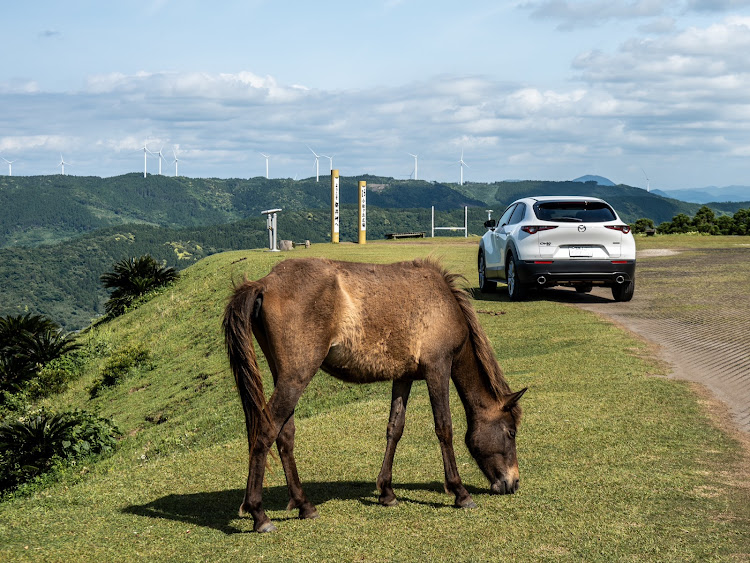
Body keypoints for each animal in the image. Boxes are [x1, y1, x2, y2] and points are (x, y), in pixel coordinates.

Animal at [226, 258, 524, 532]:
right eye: (511, 432)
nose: (513, 482)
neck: (445, 304)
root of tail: (265, 282)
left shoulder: (403, 376)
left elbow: (395, 428)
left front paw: (387, 491)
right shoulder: (438, 368)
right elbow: (444, 428)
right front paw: (460, 492)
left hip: (285, 377)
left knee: (285, 435)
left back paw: (304, 505)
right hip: (296, 378)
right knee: (266, 431)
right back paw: (259, 514)